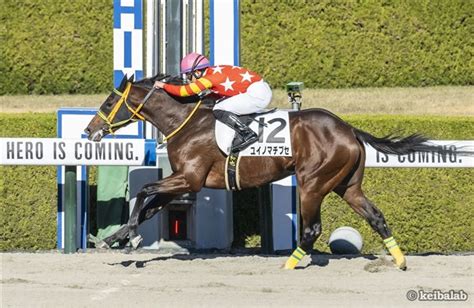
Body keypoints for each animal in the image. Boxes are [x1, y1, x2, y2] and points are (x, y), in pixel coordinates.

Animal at [83, 75, 442, 270]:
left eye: (109, 102)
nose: (89, 130)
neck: (185, 122)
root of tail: (349, 128)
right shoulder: (184, 181)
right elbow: (149, 206)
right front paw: (111, 240)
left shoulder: (190, 178)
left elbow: (144, 192)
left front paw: (130, 237)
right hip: (347, 186)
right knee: (375, 216)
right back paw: (400, 260)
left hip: (312, 183)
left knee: (313, 228)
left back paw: (289, 263)